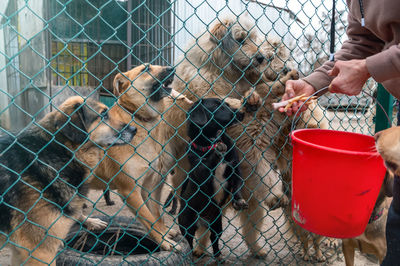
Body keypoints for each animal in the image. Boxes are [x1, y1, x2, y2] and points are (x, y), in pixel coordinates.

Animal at [178, 97, 247, 260]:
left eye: (227, 104)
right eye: (216, 106)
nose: (242, 112)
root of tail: (203, 221)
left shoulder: (236, 171)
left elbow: (237, 187)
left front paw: (239, 201)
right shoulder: (200, 173)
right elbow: (207, 163)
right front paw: (216, 149)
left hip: (217, 223)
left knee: (214, 238)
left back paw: (218, 256)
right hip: (187, 224)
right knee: (188, 242)